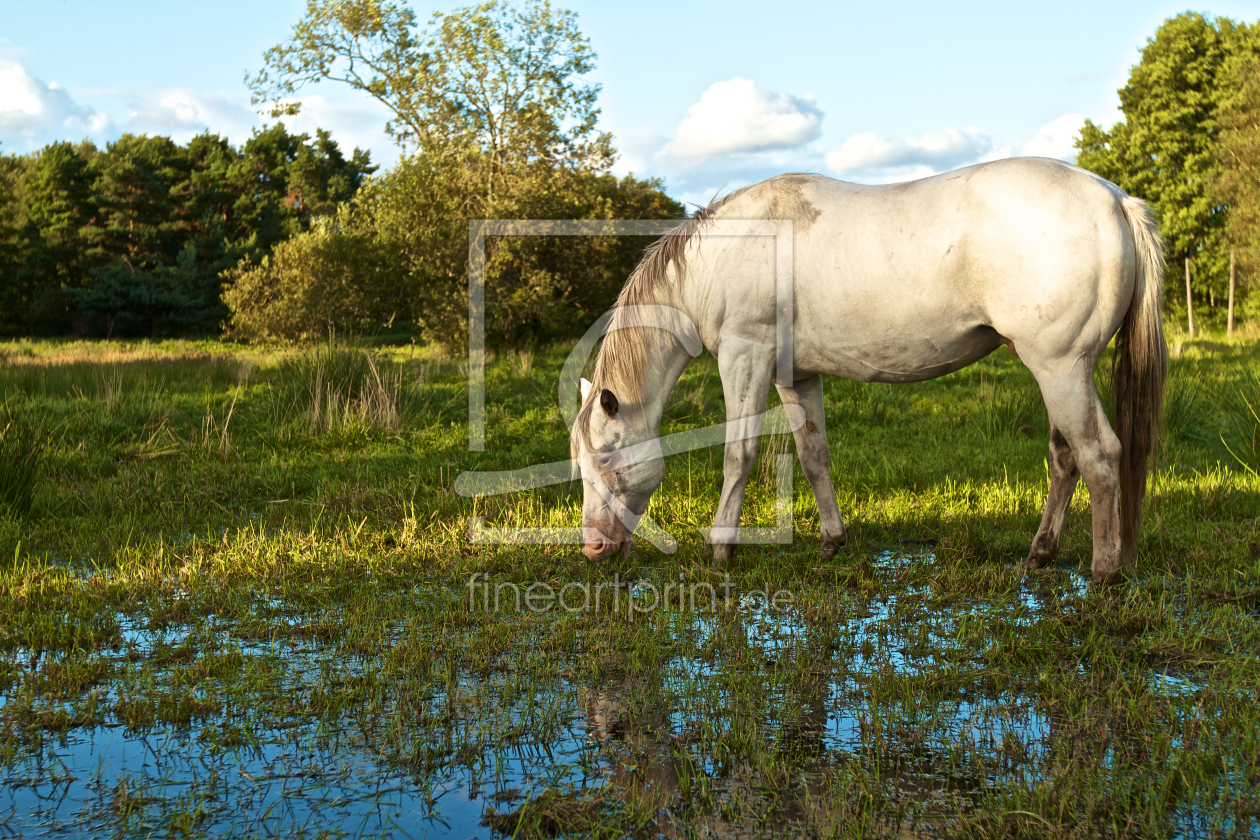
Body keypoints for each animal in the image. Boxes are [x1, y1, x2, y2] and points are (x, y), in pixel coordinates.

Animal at [572, 161, 1159, 589]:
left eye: (606, 457)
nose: (593, 548)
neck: (719, 258)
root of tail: (1115, 200)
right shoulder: (795, 375)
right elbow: (813, 454)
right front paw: (832, 540)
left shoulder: (745, 359)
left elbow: (738, 454)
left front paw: (720, 547)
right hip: (1057, 371)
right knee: (1066, 457)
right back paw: (1041, 554)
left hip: (1061, 369)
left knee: (1099, 455)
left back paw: (1104, 570)